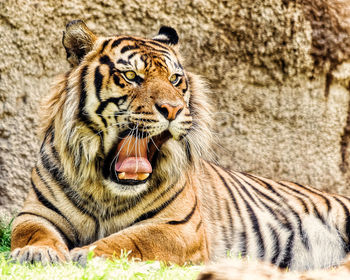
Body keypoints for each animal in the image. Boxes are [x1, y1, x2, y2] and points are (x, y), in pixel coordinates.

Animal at [9, 19, 350, 272]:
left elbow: (133, 239)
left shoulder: (179, 228)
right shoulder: (36, 213)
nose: (173, 109)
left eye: (174, 79)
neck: (107, 190)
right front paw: (36, 253)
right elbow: (31, 232)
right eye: (131, 76)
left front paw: (88, 253)